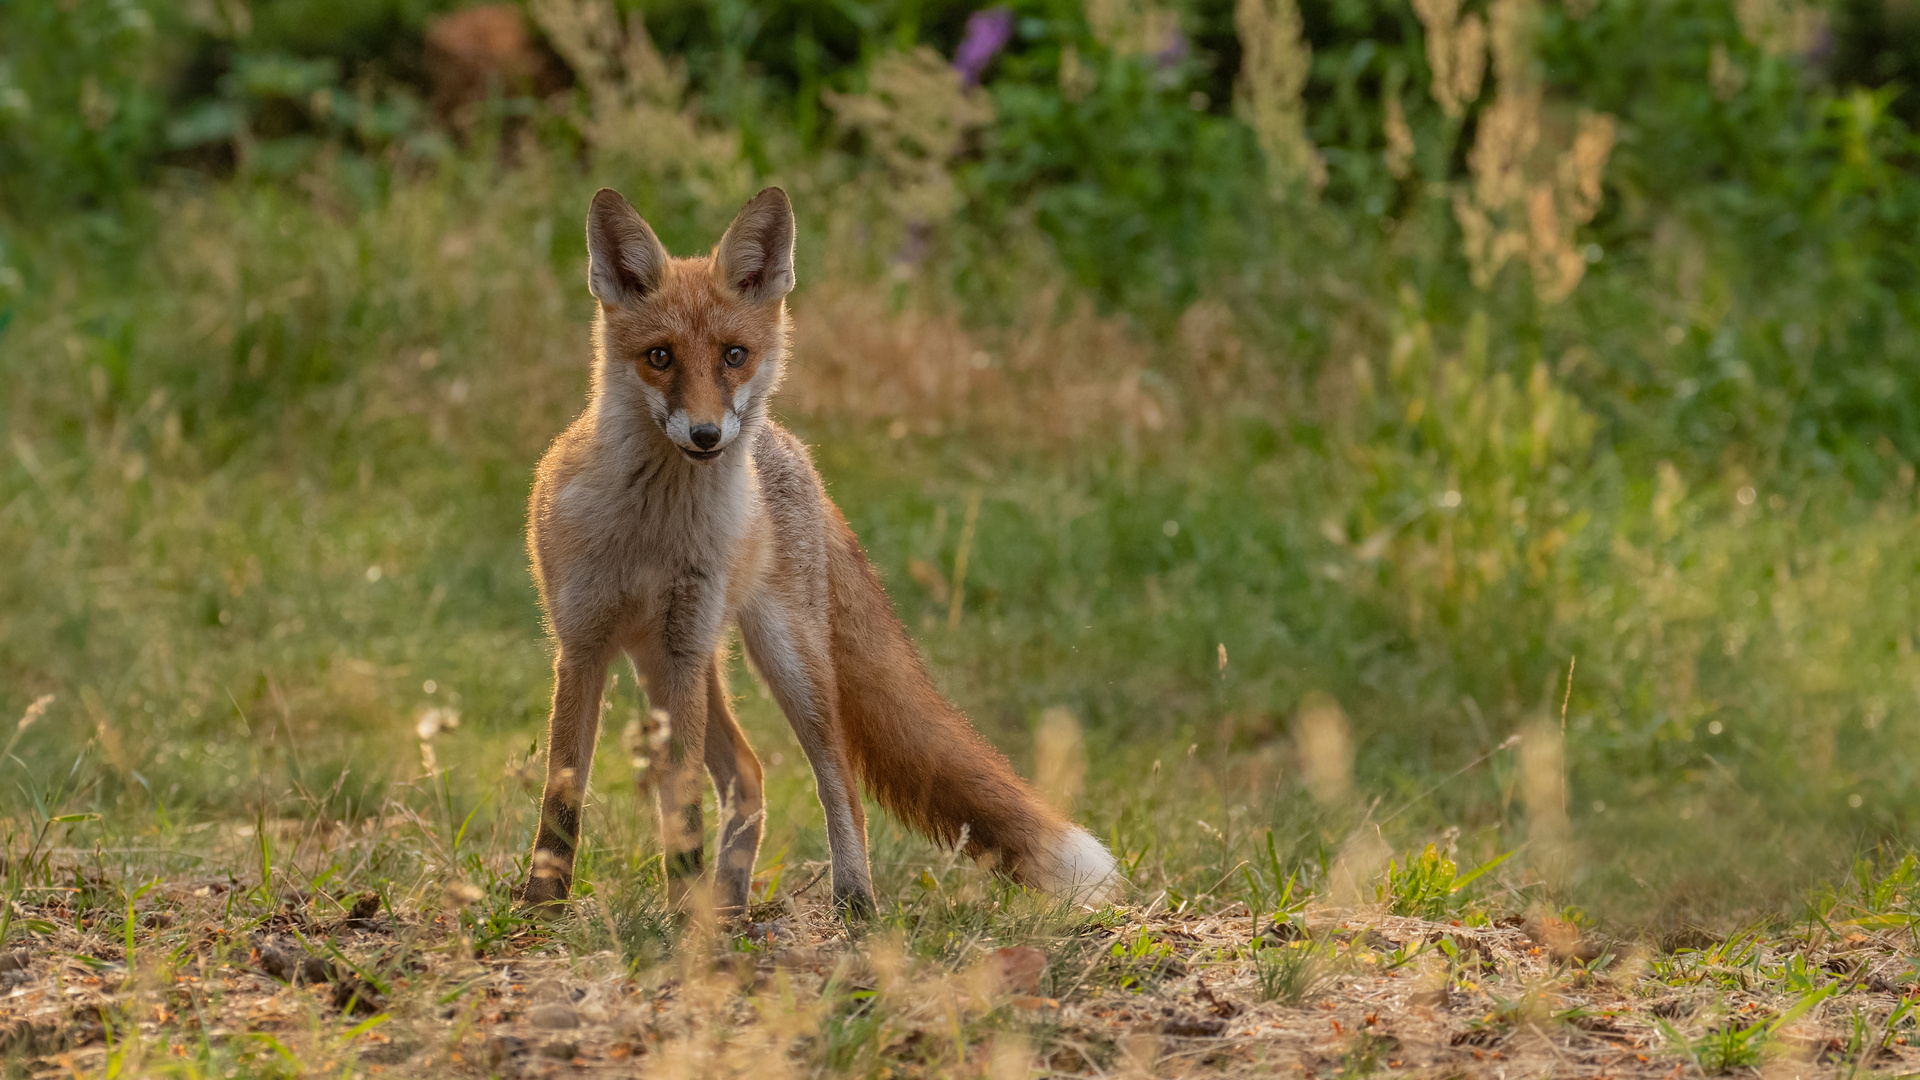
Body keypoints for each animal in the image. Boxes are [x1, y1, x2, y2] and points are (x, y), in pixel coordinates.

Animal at [518, 189, 1121, 910]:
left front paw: (679, 915)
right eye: (660, 357)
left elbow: (683, 806)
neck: (650, 531)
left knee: (839, 786)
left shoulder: (683, 649)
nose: (707, 434)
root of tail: (789, 445)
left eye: (734, 355)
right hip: (660, 664)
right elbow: (564, 794)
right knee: (748, 774)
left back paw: (851, 904)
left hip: (782, 660)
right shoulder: (583, 645)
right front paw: (542, 906)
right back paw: (729, 906)